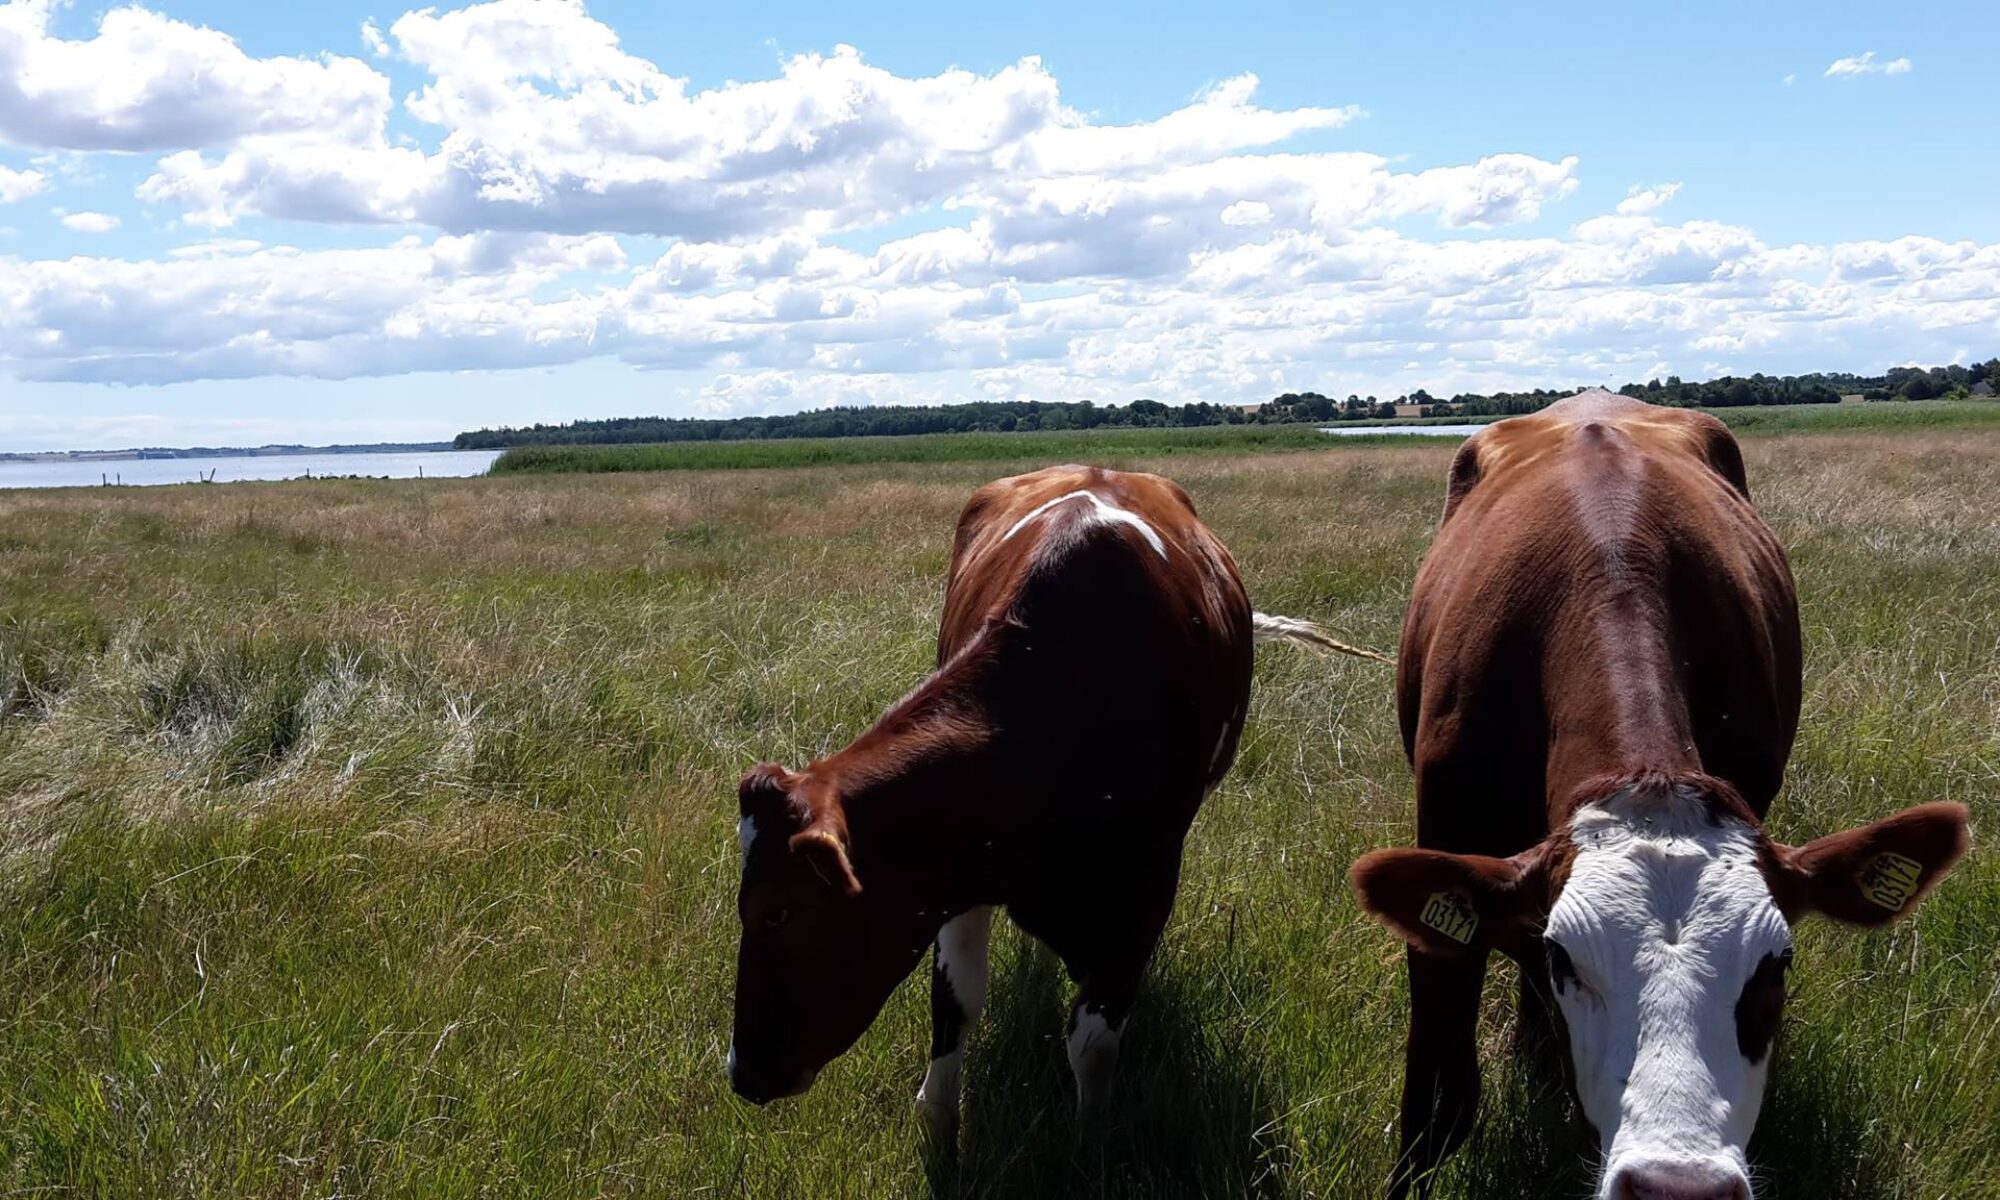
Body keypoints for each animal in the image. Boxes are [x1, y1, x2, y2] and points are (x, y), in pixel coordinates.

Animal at [728, 462, 1352, 1136]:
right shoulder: (958, 871)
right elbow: (956, 1000)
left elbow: (1094, 1042)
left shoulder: (1147, 884)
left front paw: (1088, 1138)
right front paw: (939, 1120)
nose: (742, 1074)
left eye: (778, 912)